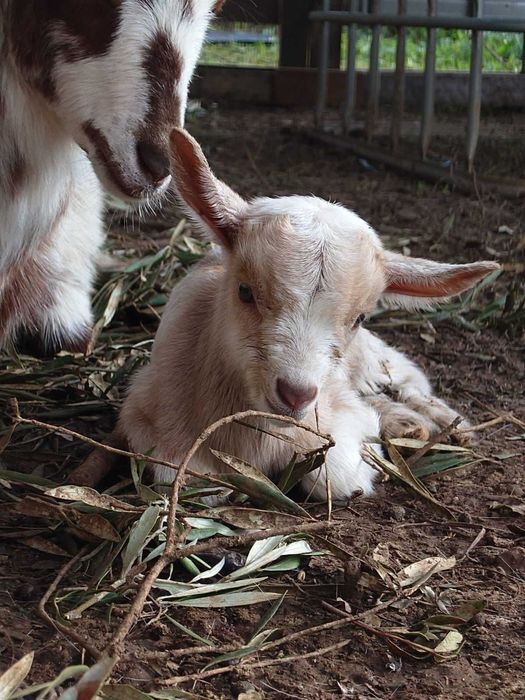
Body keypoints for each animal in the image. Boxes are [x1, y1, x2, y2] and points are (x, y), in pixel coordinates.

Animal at [103, 128, 498, 501]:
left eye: (359, 318)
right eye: (244, 291)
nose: (296, 395)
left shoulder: (339, 417)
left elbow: (340, 474)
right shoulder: (144, 412)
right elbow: (192, 478)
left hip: (369, 359)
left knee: (408, 380)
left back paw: (444, 422)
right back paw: (408, 425)